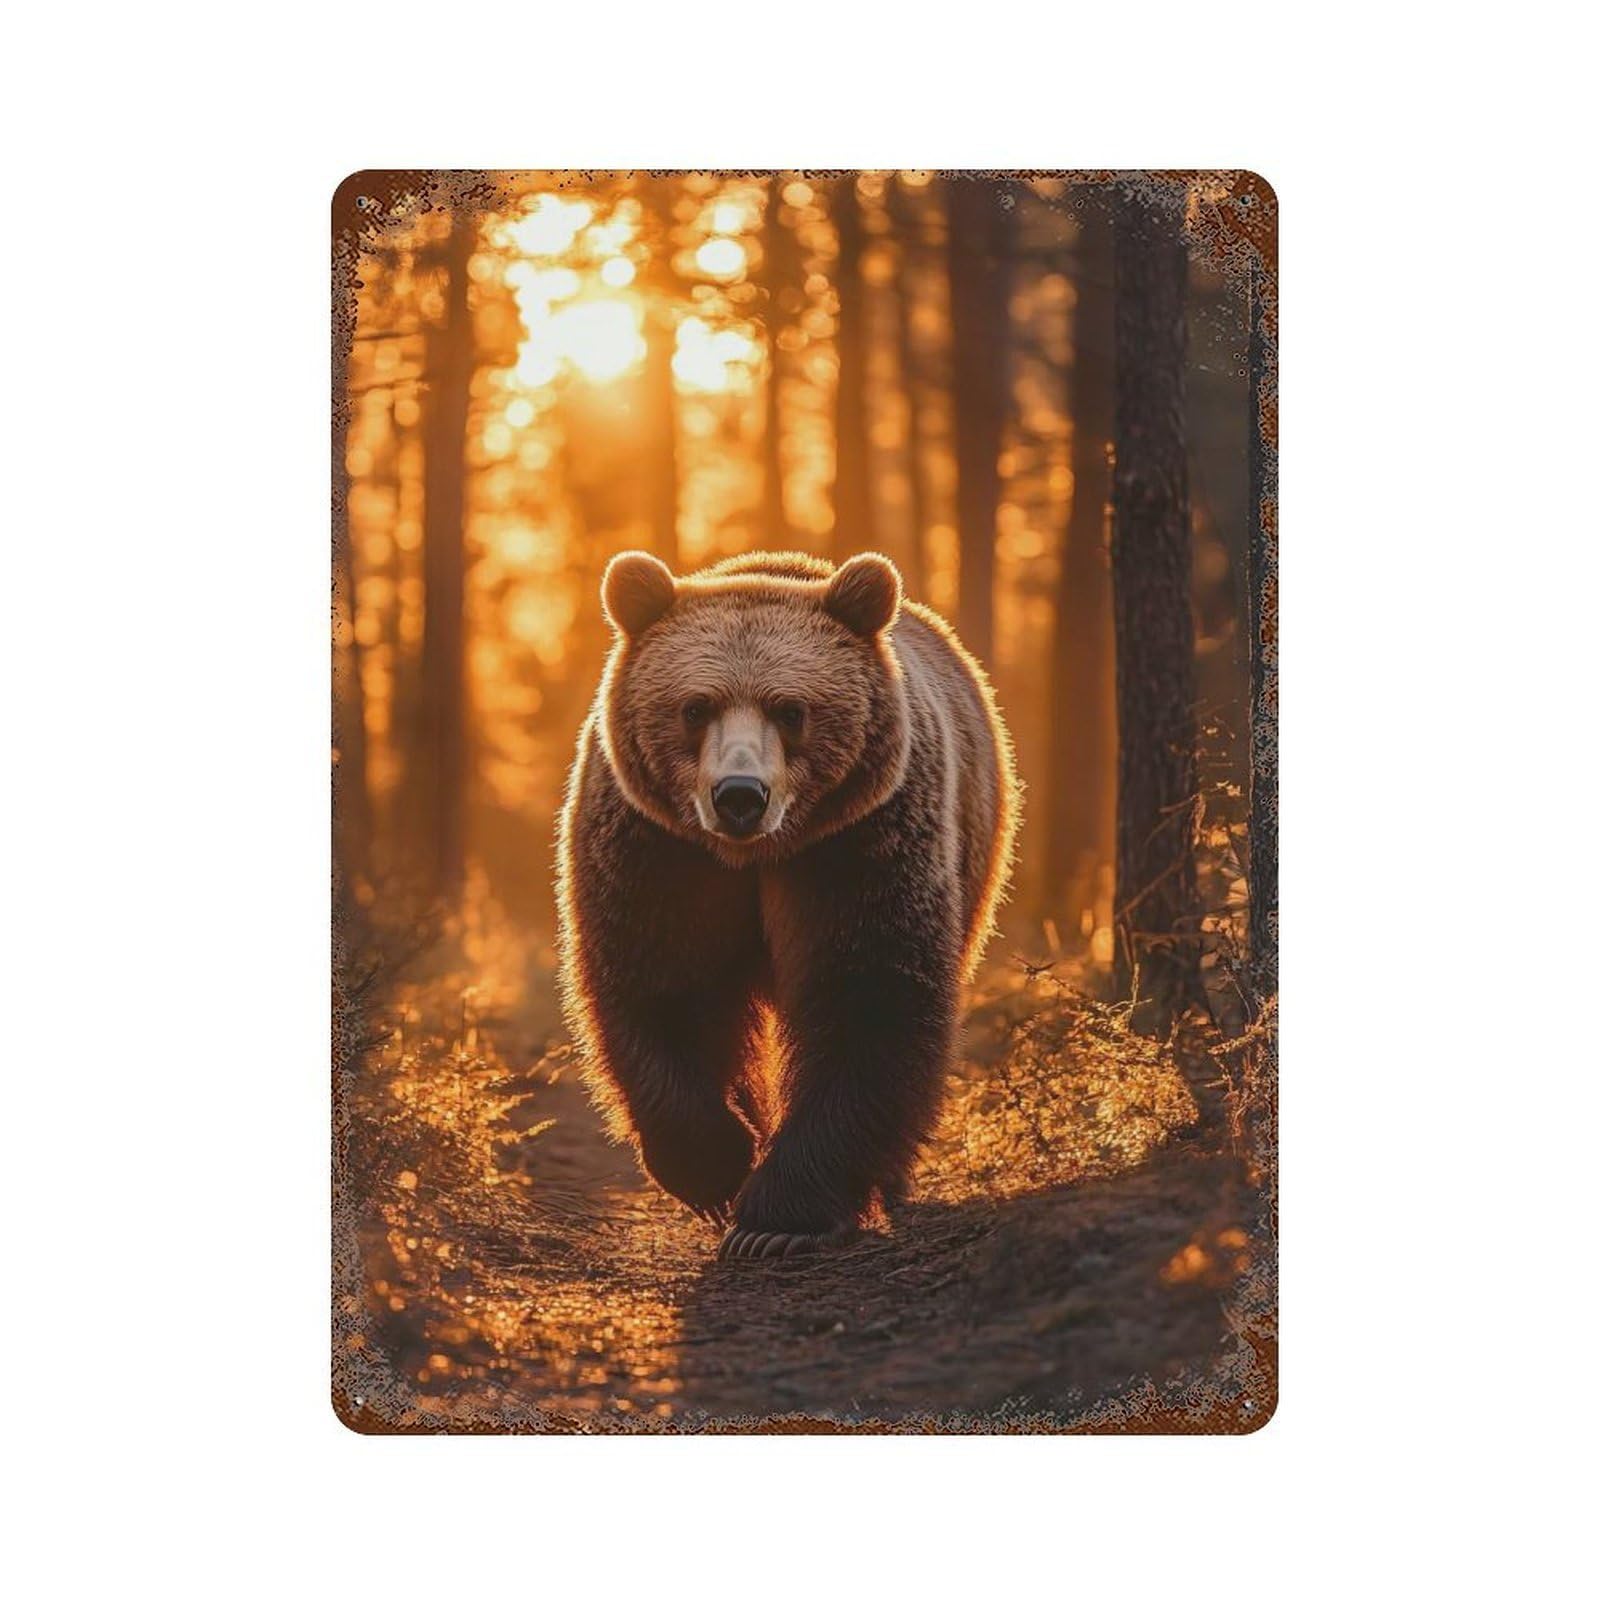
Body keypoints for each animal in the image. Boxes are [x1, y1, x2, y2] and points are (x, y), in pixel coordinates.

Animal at [556, 549, 1018, 1261]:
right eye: (696, 707)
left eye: (791, 710)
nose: (739, 795)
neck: (753, 858)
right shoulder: (661, 853)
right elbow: (661, 985)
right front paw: (717, 1168)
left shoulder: (855, 846)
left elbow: (868, 996)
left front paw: (776, 1218)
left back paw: (887, 1184)